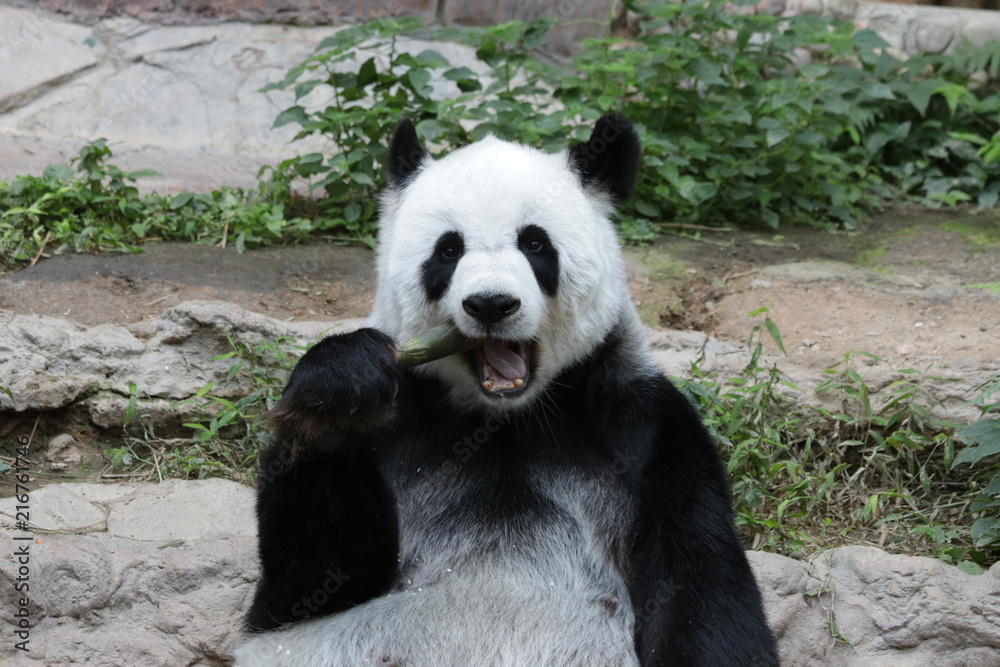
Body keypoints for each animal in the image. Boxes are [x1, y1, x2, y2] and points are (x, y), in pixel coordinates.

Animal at [236, 116, 780, 667]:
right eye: (448, 250)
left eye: (535, 244)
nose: (491, 304)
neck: (505, 417)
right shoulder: (403, 418)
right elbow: (311, 586)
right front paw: (337, 400)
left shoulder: (644, 429)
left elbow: (698, 592)